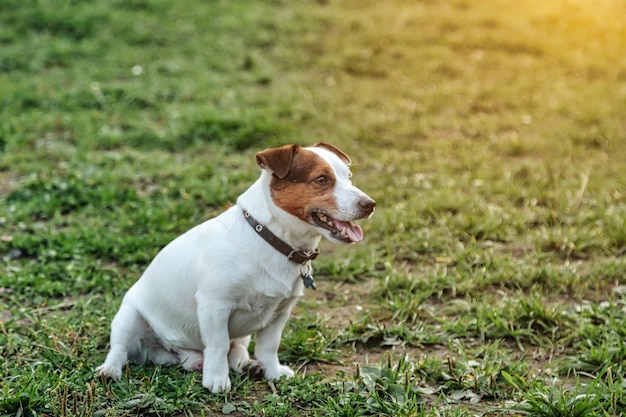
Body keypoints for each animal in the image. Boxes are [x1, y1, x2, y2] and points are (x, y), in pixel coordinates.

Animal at [95, 142, 372, 390]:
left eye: (348, 177)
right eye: (321, 179)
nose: (370, 204)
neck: (271, 239)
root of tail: (175, 352)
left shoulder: (279, 313)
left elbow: (268, 347)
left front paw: (273, 372)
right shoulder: (214, 305)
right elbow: (218, 346)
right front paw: (217, 380)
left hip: (238, 334)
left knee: (233, 349)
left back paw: (245, 365)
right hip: (128, 317)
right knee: (120, 349)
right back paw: (110, 370)